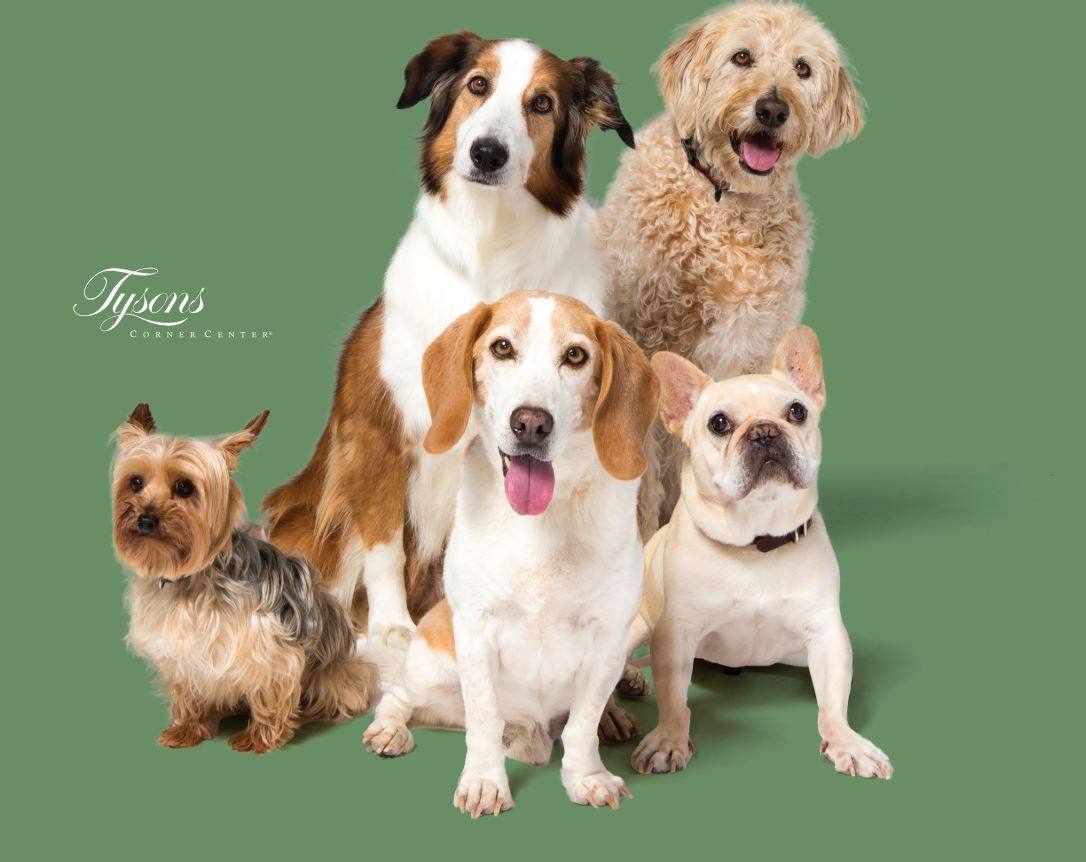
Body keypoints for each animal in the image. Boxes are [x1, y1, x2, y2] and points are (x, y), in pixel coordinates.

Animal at [264, 31, 634, 642]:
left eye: (542, 103)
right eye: (477, 85)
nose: (487, 153)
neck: (491, 249)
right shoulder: (376, 431)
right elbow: (384, 540)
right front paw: (392, 628)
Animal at [599, 3, 860, 534]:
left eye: (803, 68)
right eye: (742, 57)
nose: (773, 110)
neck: (727, 200)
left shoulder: (760, 345)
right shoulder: (649, 343)